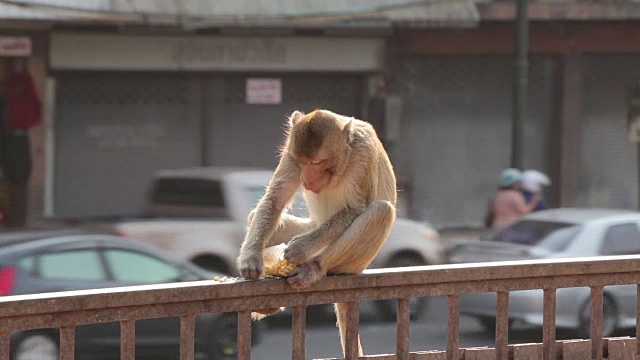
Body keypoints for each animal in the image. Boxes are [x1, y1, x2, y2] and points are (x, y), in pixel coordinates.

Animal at [236, 108, 396, 356]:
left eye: (317, 162)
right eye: (303, 163)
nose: (307, 180)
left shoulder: (364, 154)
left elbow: (356, 209)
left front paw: (301, 248)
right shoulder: (291, 153)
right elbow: (275, 199)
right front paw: (251, 259)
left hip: (355, 264)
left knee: (382, 211)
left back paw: (313, 268)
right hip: (312, 224)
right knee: (257, 216)